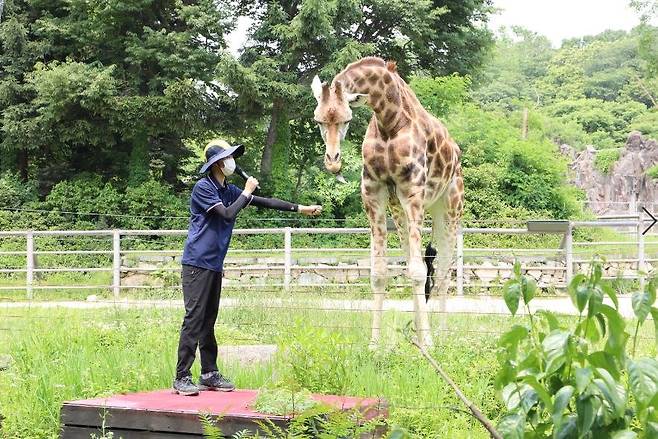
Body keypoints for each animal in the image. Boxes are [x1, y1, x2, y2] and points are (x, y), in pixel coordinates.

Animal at [308, 56, 462, 348]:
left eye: (346, 120)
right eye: (319, 120)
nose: (332, 161)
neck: (389, 120)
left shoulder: (413, 192)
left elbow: (418, 272)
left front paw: (428, 343)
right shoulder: (374, 194)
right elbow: (380, 273)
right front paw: (374, 343)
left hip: (450, 205)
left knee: (444, 271)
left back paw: (442, 335)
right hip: (399, 210)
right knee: (421, 265)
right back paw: (418, 331)